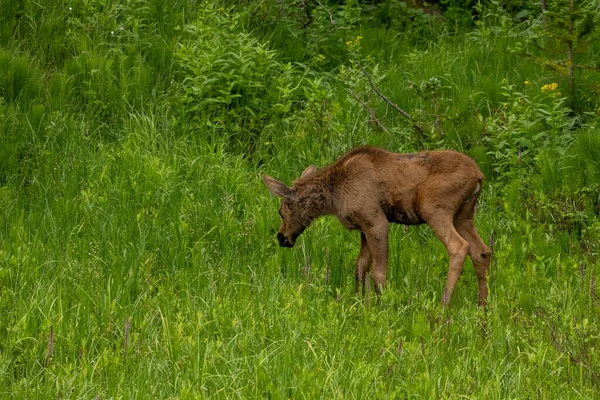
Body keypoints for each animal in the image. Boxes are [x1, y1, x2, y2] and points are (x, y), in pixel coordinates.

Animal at [264, 147, 492, 306]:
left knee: (459, 247)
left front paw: (382, 305)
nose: (281, 237)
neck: (334, 196)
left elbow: (378, 272)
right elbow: (360, 266)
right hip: (463, 215)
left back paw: (444, 305)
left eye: (281, 211)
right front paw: (358, 301)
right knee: (482, 251)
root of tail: (479, 176)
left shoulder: (376, 221)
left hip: (434, 207)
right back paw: (482, 306)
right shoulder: (364, 227)